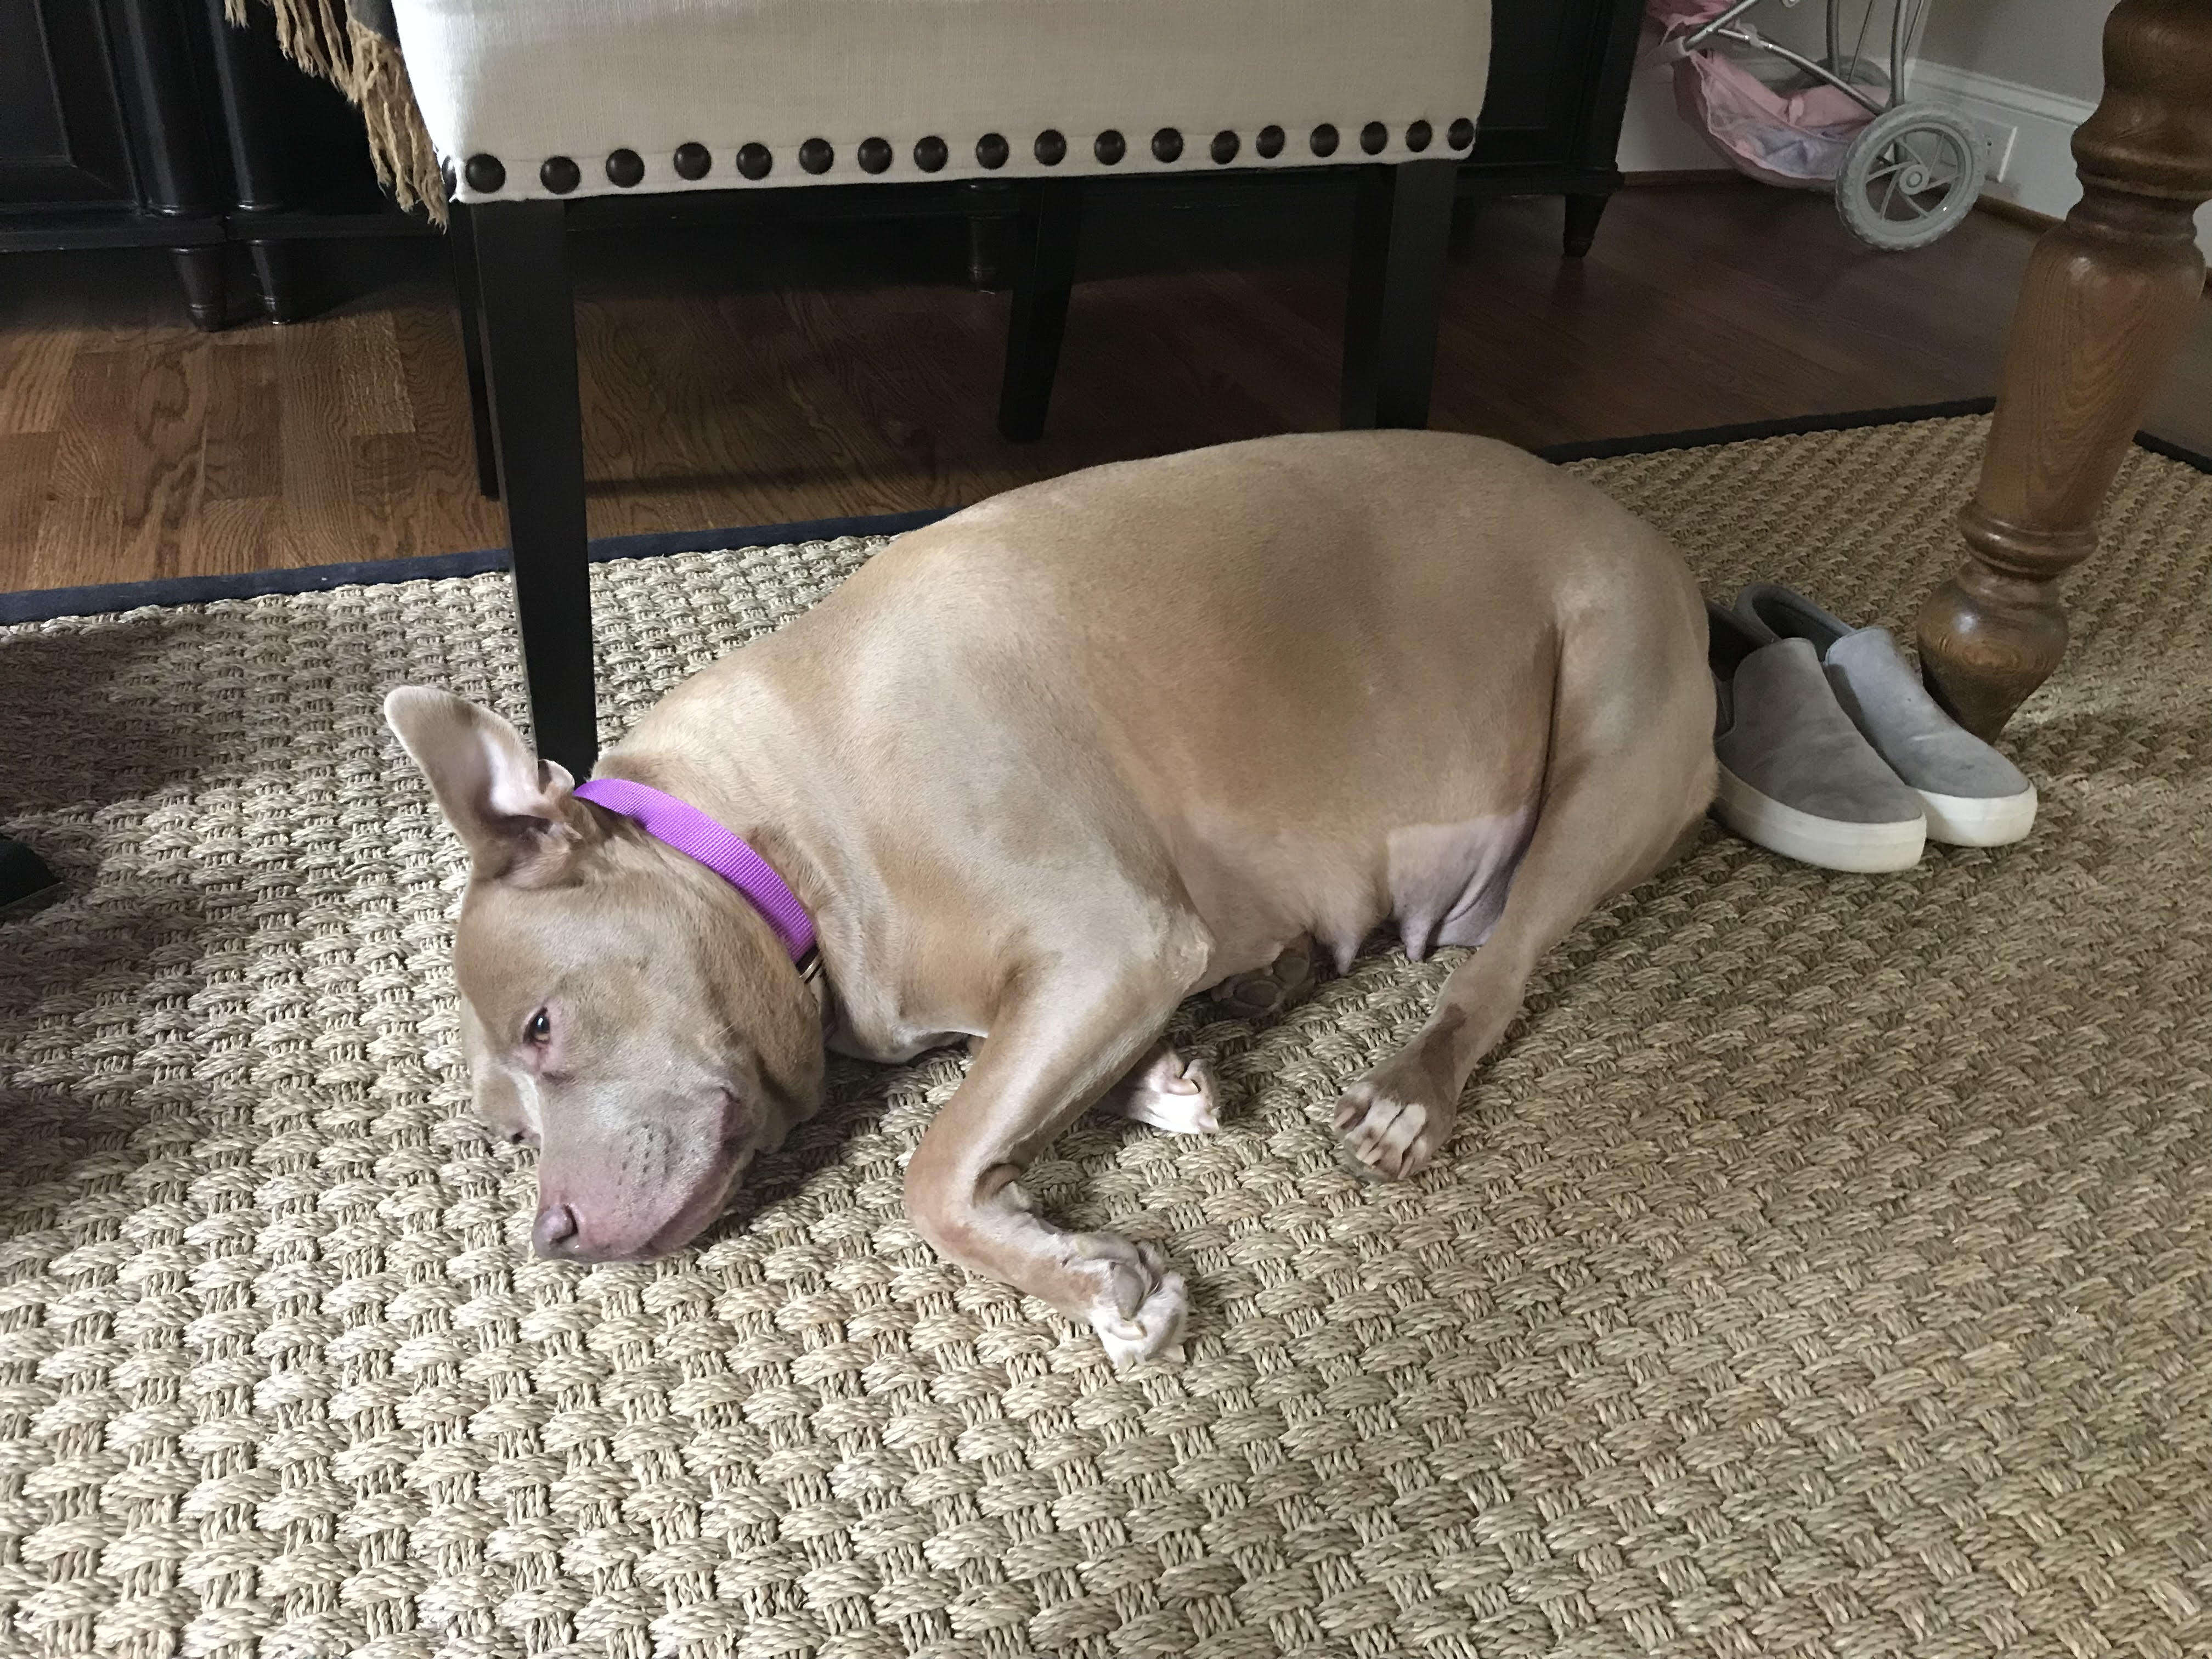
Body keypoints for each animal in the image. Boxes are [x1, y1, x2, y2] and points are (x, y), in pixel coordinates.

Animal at [389, 429, 1716, 1362]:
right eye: (508, 1131)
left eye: (544, 1026)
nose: (553, 1239)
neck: (776, 832)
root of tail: (1654, 545)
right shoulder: (1078, 981)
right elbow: (999, 1094)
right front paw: (1154, 1092)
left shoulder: (1112, 943)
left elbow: (934, 1171)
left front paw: (1099, 1279)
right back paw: (1264, 982)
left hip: (1604, 754)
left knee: (1497, 974)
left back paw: (1406, 1090)